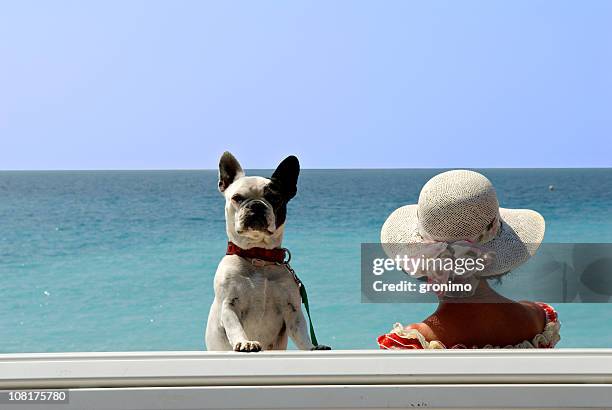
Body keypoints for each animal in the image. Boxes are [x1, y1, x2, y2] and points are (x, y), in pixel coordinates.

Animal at [206, 152, 330, 350]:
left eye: (274, 199)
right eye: (237, 198)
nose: (257, 205)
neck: (258, 256)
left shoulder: (292, 310)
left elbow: (302, 333)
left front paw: (312, 347)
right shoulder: (228, 305)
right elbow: (234, 327)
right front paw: (245, 342)